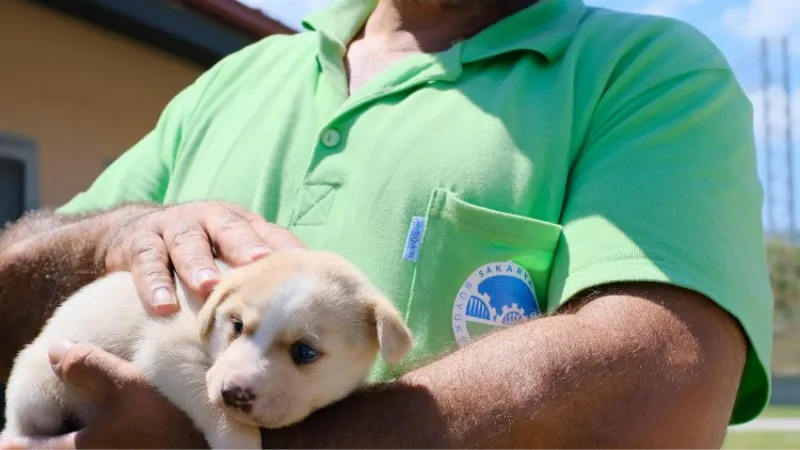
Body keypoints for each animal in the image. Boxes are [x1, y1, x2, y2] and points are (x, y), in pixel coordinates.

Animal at [0, 250, 412, 450]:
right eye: (237, 326)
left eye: (305, 352)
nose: (233, 393)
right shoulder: (168, 353)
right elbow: (219, 413)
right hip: (37, 391)